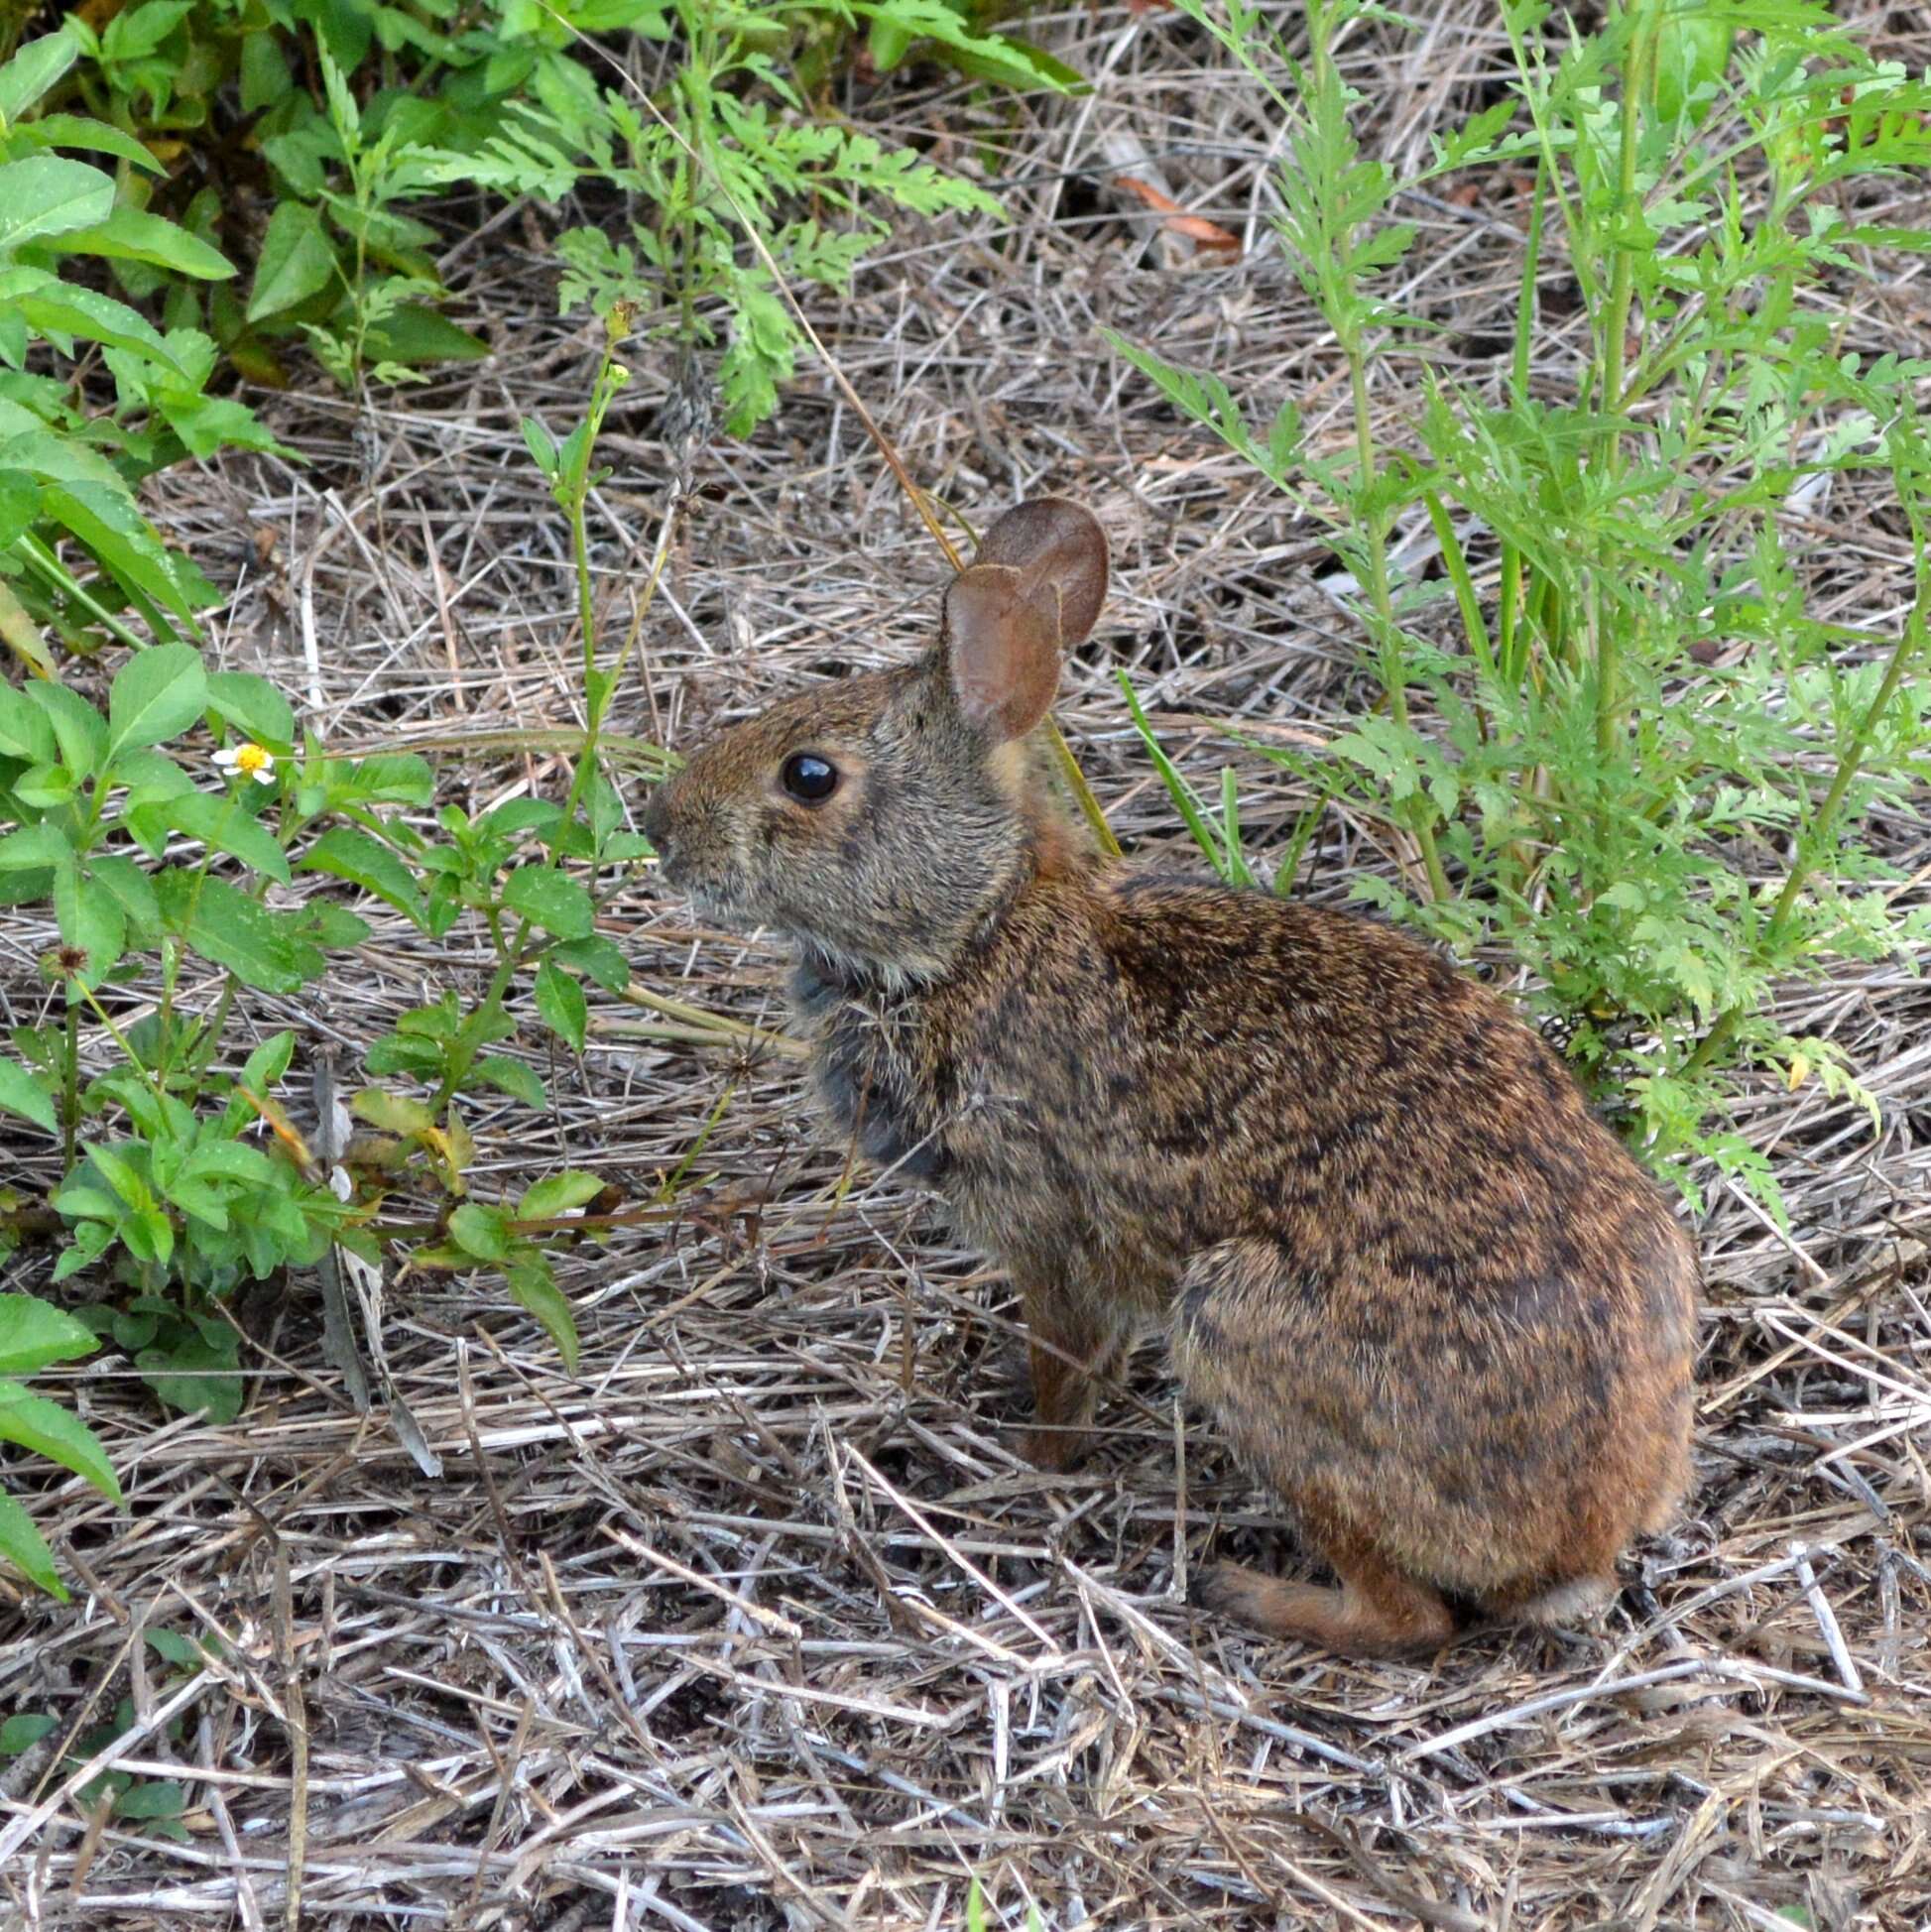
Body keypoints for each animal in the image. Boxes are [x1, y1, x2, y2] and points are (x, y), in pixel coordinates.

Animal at [642, 498, 1701, 1661]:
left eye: (809, 776)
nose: (658, 827)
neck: (977, 931)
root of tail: (1580, 1534)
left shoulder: (1044, 1227)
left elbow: (1063, 1364)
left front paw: (1031, 1460)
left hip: (1246, 1341)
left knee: (1411, 1617)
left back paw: (1251, 1592)